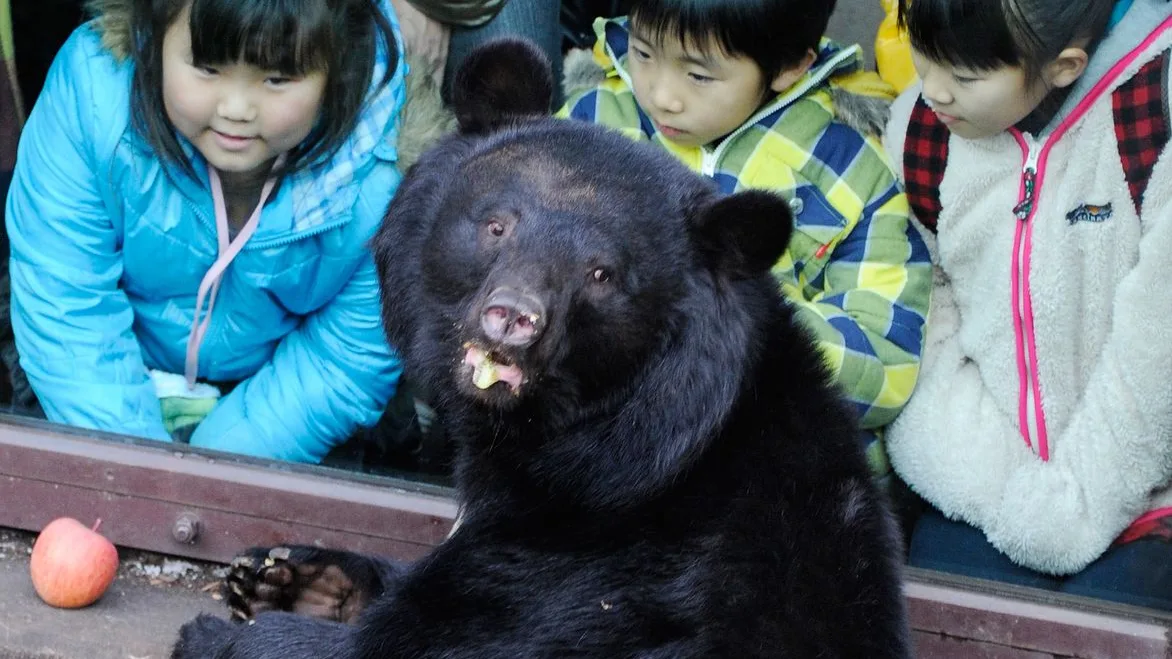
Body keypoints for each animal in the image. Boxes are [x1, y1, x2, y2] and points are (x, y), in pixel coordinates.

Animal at [169, 38, 909, 651]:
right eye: (497, 225)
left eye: (603, 275)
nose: (510, 319)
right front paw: (288, 576)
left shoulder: (588, 565)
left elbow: (423, 634)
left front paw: (222, 632)